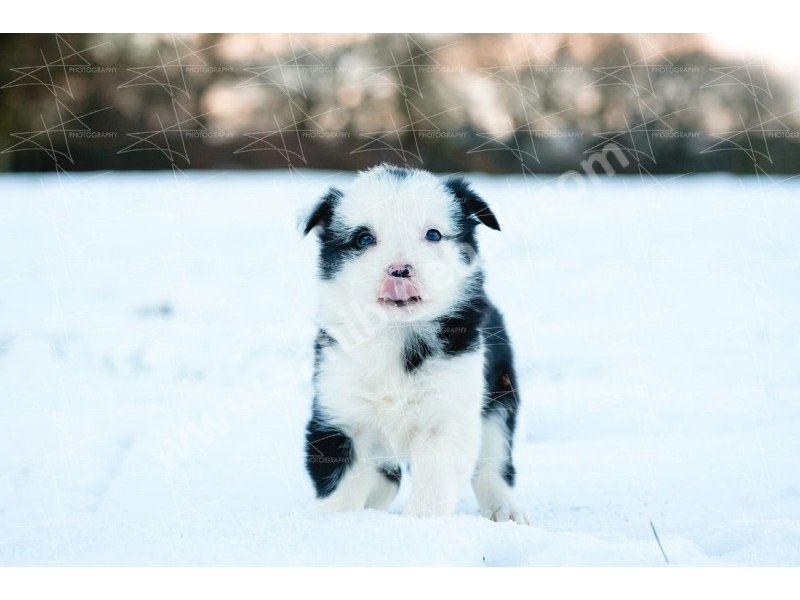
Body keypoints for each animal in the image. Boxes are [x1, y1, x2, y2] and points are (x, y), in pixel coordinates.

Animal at [300, 163, 524, 520]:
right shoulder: (340, 415)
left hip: (499, 396)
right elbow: (339, 489)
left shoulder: (447, 416)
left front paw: (418, 526)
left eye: (433, 234)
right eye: (364, 238)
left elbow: (433, 484)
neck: (395, 332)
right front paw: (338, 524)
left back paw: (505, 509)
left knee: (493, 460)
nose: (399, 270)